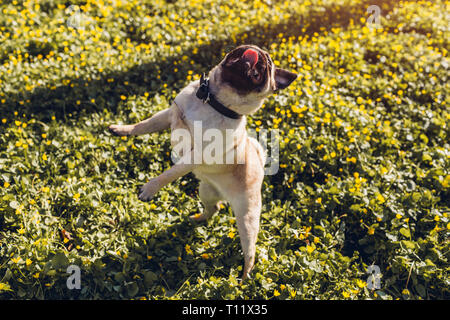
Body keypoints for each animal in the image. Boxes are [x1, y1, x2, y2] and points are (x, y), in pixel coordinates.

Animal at [108, 44, 298, 280]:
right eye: (244, 48)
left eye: (268, 65)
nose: (257, 53)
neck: (214, 102)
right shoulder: (168, 115)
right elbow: (143, 125)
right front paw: (122, 129)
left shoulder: (195, 155)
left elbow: (169, 173)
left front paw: (150, 188)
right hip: (206, 191)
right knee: (213, 208)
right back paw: (197, 218)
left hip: (247, 218)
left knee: (250, 251)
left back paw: (244, 277)